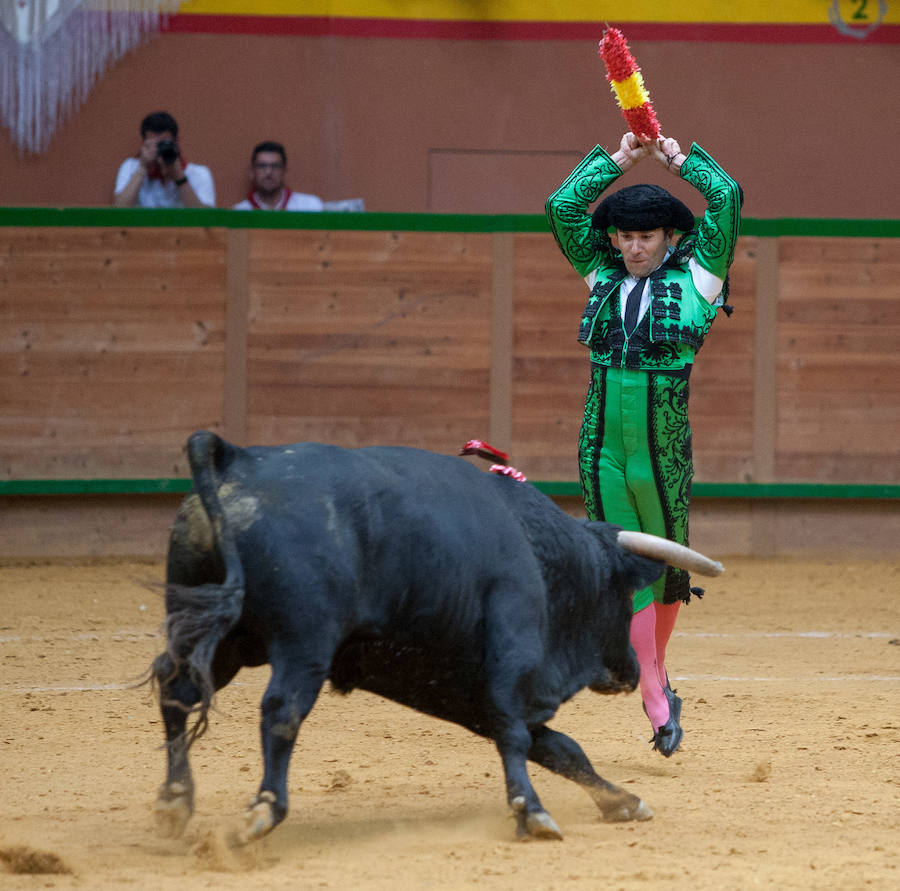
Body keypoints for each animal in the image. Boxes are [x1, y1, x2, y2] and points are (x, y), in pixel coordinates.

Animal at [151, 432, 720, 844]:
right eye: (620, 595)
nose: (630, 671)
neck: (542, 551)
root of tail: (237, 461)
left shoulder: (462, 689)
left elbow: (561, 748)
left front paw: (622, 801)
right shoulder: (510, 661)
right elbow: (520, 737)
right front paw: (532, 812)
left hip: (214, 634)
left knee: (176, 688)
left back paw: (175, 801)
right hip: (302, 643)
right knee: (281, 710)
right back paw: (263, 810)